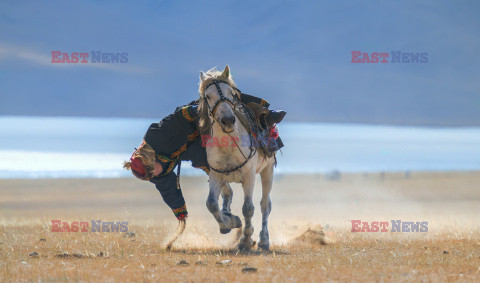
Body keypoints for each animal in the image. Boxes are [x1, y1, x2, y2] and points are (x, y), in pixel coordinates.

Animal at [197, 65, 276, 252]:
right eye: (208, 96)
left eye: (231, 93)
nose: (228, 120)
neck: (228, 145)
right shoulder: (215, 175)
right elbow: (211, 204)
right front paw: (228, 223)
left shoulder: (249, 176)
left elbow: (248, 208)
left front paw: (246, 241)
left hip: (268, 170)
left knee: (265, 205)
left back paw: (263, 241)